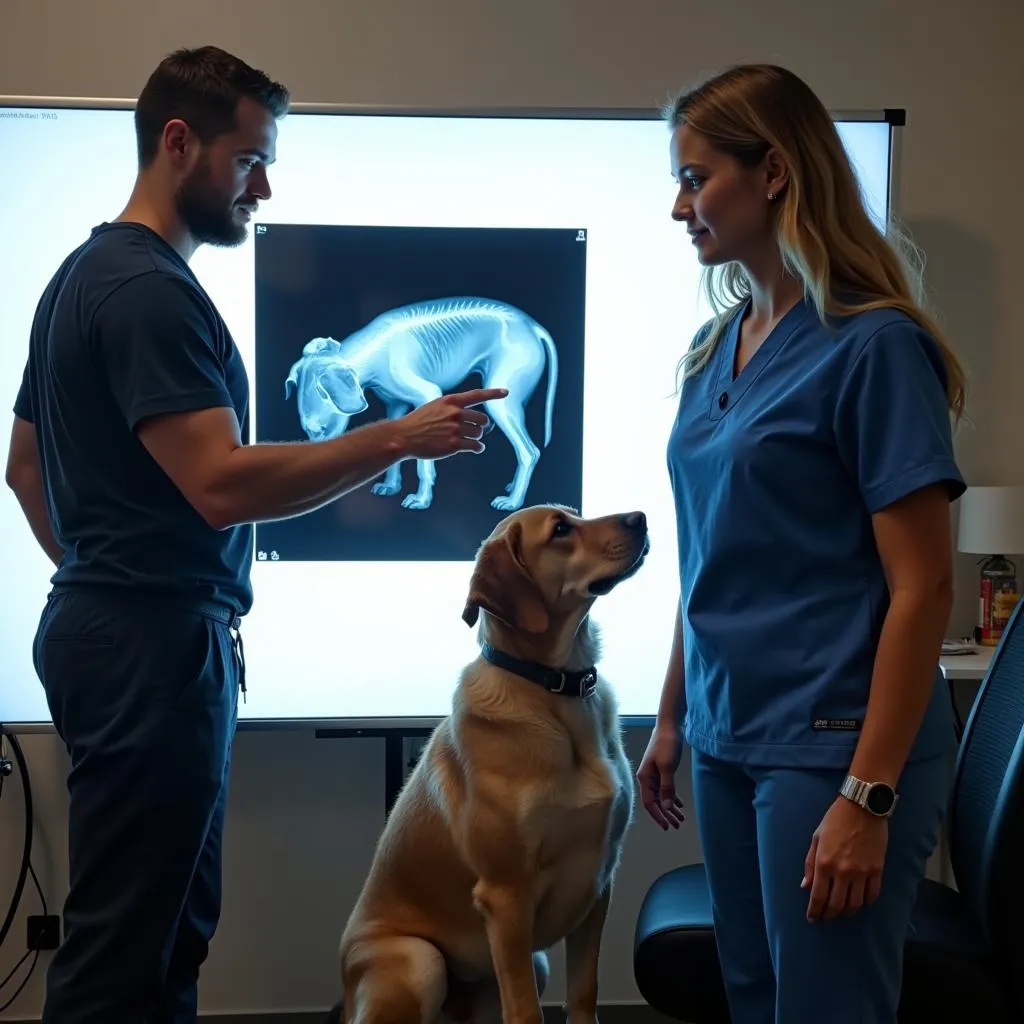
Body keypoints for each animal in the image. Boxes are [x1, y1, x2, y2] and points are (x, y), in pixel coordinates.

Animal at [327, 503, 647, 1024]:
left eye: (574, 515)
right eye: (561, 529)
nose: (640, 517)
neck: (554, 691)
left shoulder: (599, 881)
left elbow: (584, 991)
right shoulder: (506, 896)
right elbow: (527, 1011)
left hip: (534, 963)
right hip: (421, 961)